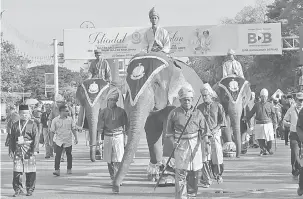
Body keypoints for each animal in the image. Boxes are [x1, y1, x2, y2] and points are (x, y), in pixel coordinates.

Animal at [113, 52, 205, 192]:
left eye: (156, 83)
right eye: (128, 86)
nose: (116, 187)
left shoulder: (175, 100)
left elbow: (169, 130)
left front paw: (167, 180)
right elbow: (151, 131)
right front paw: (153, 176)